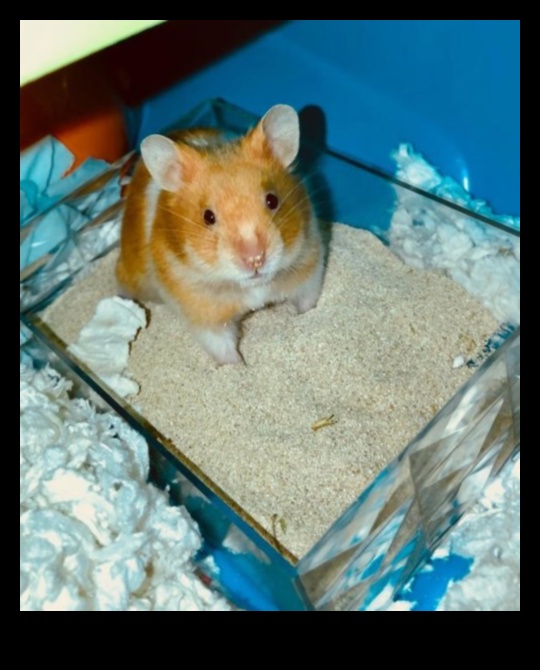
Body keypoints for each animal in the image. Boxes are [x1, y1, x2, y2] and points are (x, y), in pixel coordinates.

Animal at [116, 104, 325, 364]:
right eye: (208, 217)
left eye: (272, 200)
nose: (255, 259)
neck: (251, 286)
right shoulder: (203, 315)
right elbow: (224, 349)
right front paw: (240, 366)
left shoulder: (309, 267)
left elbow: (307, 303)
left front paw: (306, 317)